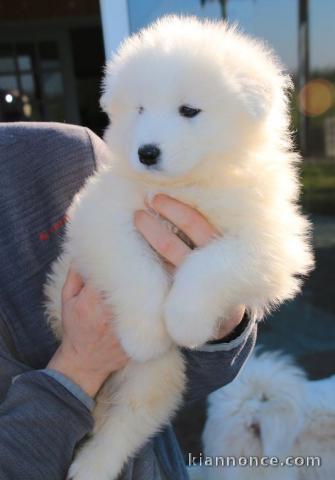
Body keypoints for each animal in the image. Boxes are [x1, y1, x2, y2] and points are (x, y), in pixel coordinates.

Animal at [44, 15, 316, 480]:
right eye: (139, 110)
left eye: (189, 111)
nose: (147, 152)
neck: (188, 187)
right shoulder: (101, 218)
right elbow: (136, 268)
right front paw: (147, 331)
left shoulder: (274, 242)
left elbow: (211, 264)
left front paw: (184, 321)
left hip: (155, 380)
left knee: (126, 423)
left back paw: (92, 465)